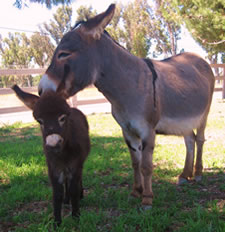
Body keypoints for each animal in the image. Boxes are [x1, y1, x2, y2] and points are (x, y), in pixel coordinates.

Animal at [11, 84, 90, 226]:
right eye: (40, 121)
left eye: (62, 118)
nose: (53, 145)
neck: (62, 154)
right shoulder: (53, 167)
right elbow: (57, 194)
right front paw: (57, 223)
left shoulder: (75, 164)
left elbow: (73, 189)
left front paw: (76, 217)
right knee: (66, 181)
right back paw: (66, 200)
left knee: (78, 179)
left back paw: (80, 195)